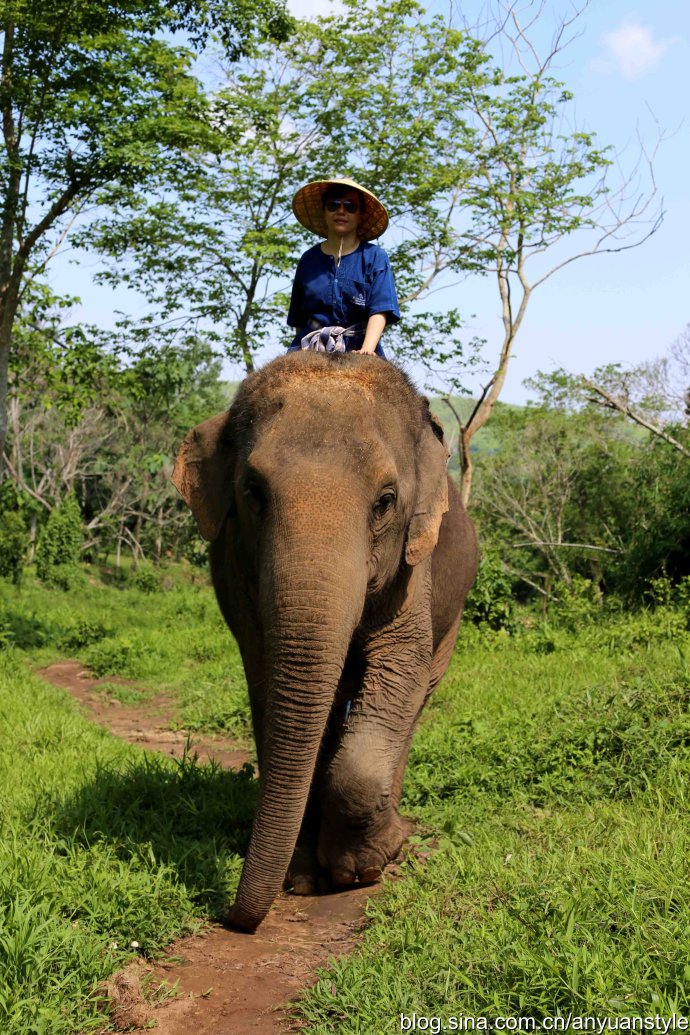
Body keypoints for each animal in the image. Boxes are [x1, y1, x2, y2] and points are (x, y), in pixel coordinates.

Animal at [169, 351, 477, 935]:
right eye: (253, 493)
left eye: (386, 501)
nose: (232, 918)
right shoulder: (234, 570)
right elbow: (269, 681)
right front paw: (306, 878)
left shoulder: (415, 569)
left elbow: (400, 663)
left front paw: (361, 870)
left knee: (418, 695)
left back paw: (388, 837)